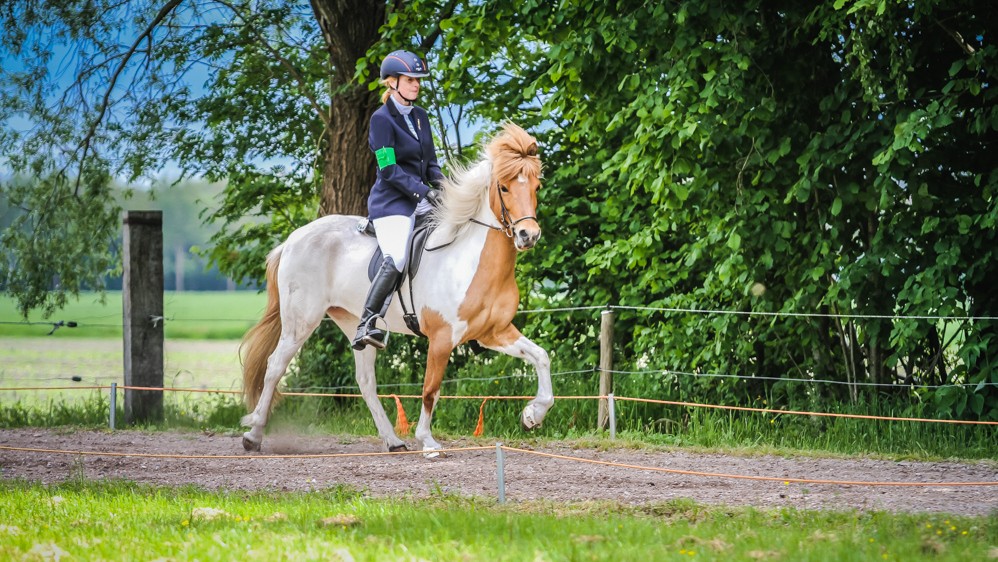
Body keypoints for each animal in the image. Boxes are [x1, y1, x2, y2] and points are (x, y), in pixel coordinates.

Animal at [240, 121, 556, 456]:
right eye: (505, 188)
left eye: (536, 187)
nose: (528, 235)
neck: (471, 260)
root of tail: (292, 240)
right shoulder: (442, 337)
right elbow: (431, 389)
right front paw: (427, 441)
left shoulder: (493, 332)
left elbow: (541, 356)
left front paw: (532, 414)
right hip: (300, 321)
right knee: (275, 366)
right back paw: (253, 434)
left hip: (354, 323)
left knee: (365, 380)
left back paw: (392, 440)